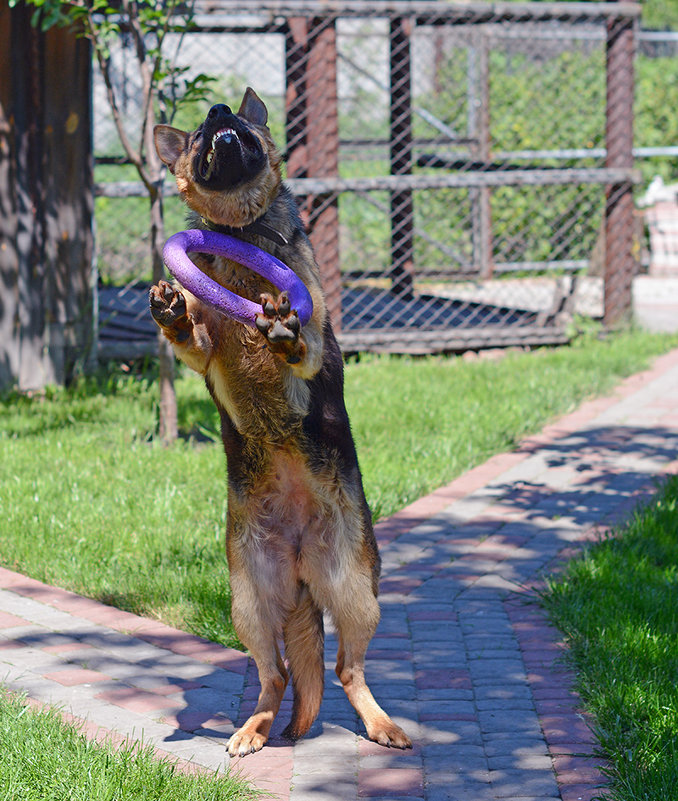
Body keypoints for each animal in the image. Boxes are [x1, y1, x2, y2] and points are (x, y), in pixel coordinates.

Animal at [151, 89, 412, 756]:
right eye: (199, 135)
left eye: (236, 123)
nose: (219, 110)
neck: (244, 235)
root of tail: (297, 557)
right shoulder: (204, 352)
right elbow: (191, 334)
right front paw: (169, 306)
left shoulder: (316, 336)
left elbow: (303, 343)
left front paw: (281, 332)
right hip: (249, 602)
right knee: (276, 676)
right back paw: (252, 729)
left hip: (354, 589)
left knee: (346, 668)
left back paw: (381, 724)